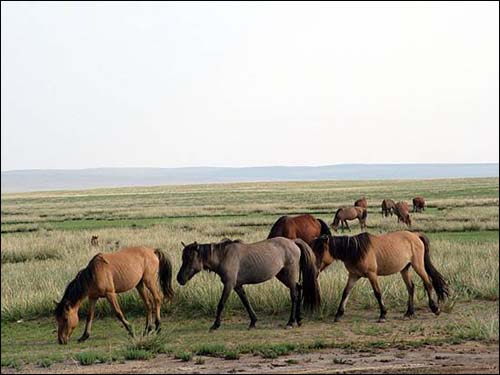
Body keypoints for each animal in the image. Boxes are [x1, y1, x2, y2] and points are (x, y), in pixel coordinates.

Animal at [177, 238, 320, 332]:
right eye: (183, 258)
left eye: (189, 259)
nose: (179, 279)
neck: (224, 256)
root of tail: (294, 242)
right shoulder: (237, 286)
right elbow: (246, 302)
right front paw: (253, 321)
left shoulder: (229, 285)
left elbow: (221, 303)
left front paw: (215, 325)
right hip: (282, 275)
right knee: (299, 288)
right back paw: (299, 319)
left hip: (289, 275)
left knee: (294, 294)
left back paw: (291, 321)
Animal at [312, 232, 450, 324]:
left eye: (321, 250)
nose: (315, 271)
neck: (355, 250)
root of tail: (415, 235)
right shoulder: (353, 275)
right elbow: (345, 293)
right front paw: (338, 314)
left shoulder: (372, 274)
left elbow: (377, 293)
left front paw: (383, 315)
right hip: (404, 269)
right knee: (411, 287)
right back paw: (408, 313)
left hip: (418, 266)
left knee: (428, 283)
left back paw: (435, 308)